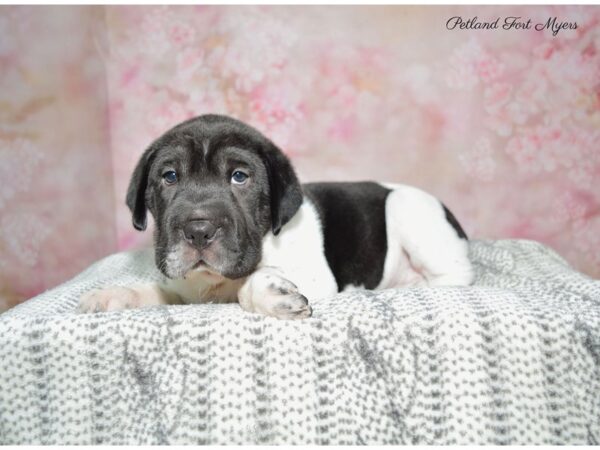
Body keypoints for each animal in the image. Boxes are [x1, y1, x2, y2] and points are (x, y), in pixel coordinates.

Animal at [79, 116, 474, 320]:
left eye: (240, 177)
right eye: (169, 176)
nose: (199, 230)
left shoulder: (317, 277)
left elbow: (252, 284)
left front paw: (271, 295)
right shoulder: (186, 289)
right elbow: (158, 290)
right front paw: (115, 295)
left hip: (409, 211)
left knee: (455, 278)